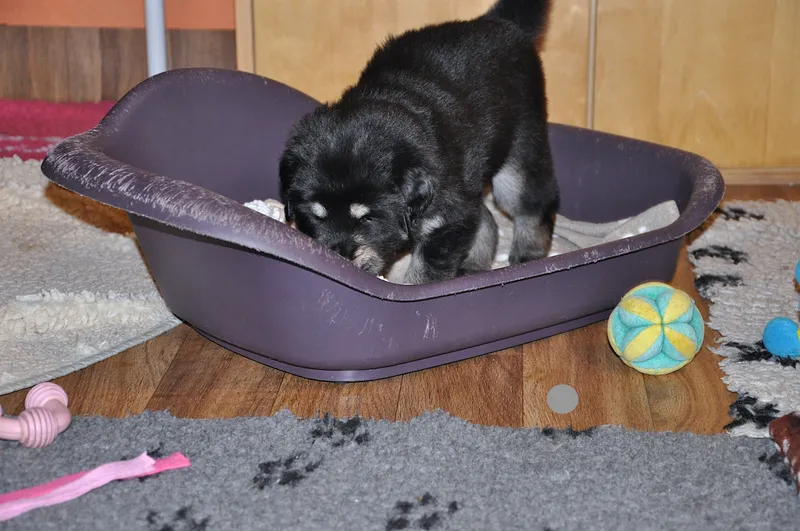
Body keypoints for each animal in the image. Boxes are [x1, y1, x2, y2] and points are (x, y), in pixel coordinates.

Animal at [278, 0, 559, 285]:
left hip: (519, 154)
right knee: (487, 219)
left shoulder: (443, 223)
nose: (340, 258)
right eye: (317, 216)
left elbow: (424, 274)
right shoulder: (454, 208)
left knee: (534, 204)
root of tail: (500, 21)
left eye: (367, 218)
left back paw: (528, 253)